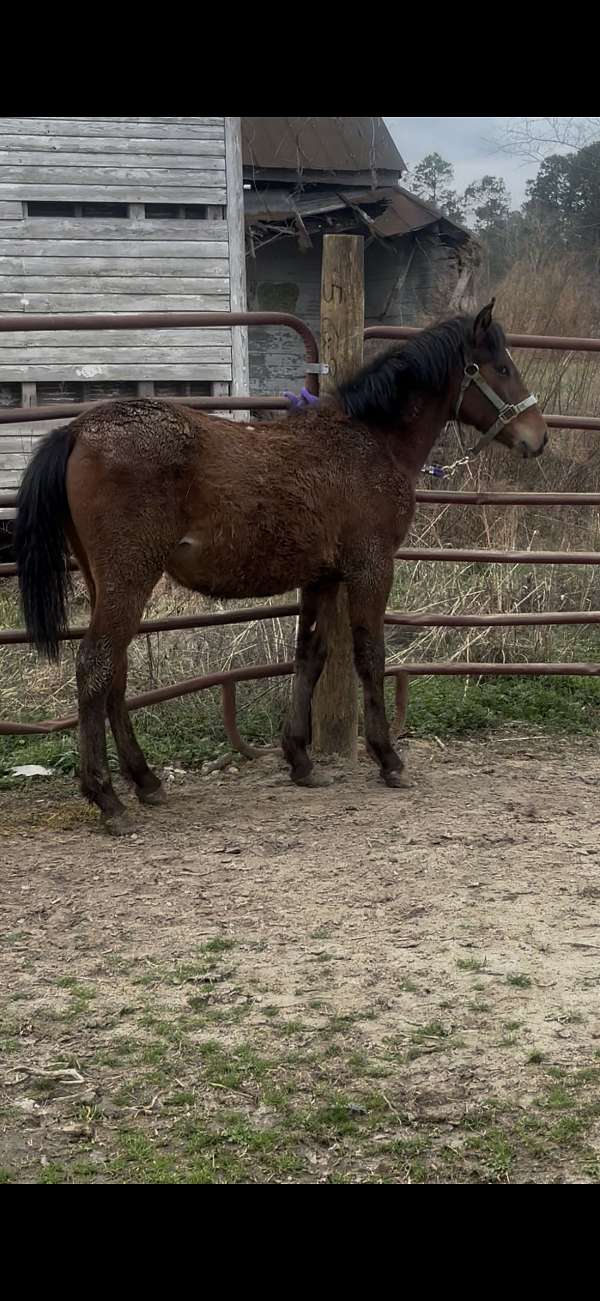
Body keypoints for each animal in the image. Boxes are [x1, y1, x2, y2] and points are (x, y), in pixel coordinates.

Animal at [15, 300, 548, 834]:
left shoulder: (323, 577)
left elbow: (310, 656)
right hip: (130, 576)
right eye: (501, 368)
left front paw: (300, 760)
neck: (370, 441)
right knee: (95, 666)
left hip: (106, 580)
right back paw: (107, 798)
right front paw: (388, 758)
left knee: (115, 672)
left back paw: (145, 781)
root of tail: (78, 430)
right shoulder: (371, 568)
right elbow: (369, 657)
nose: (538, 438)